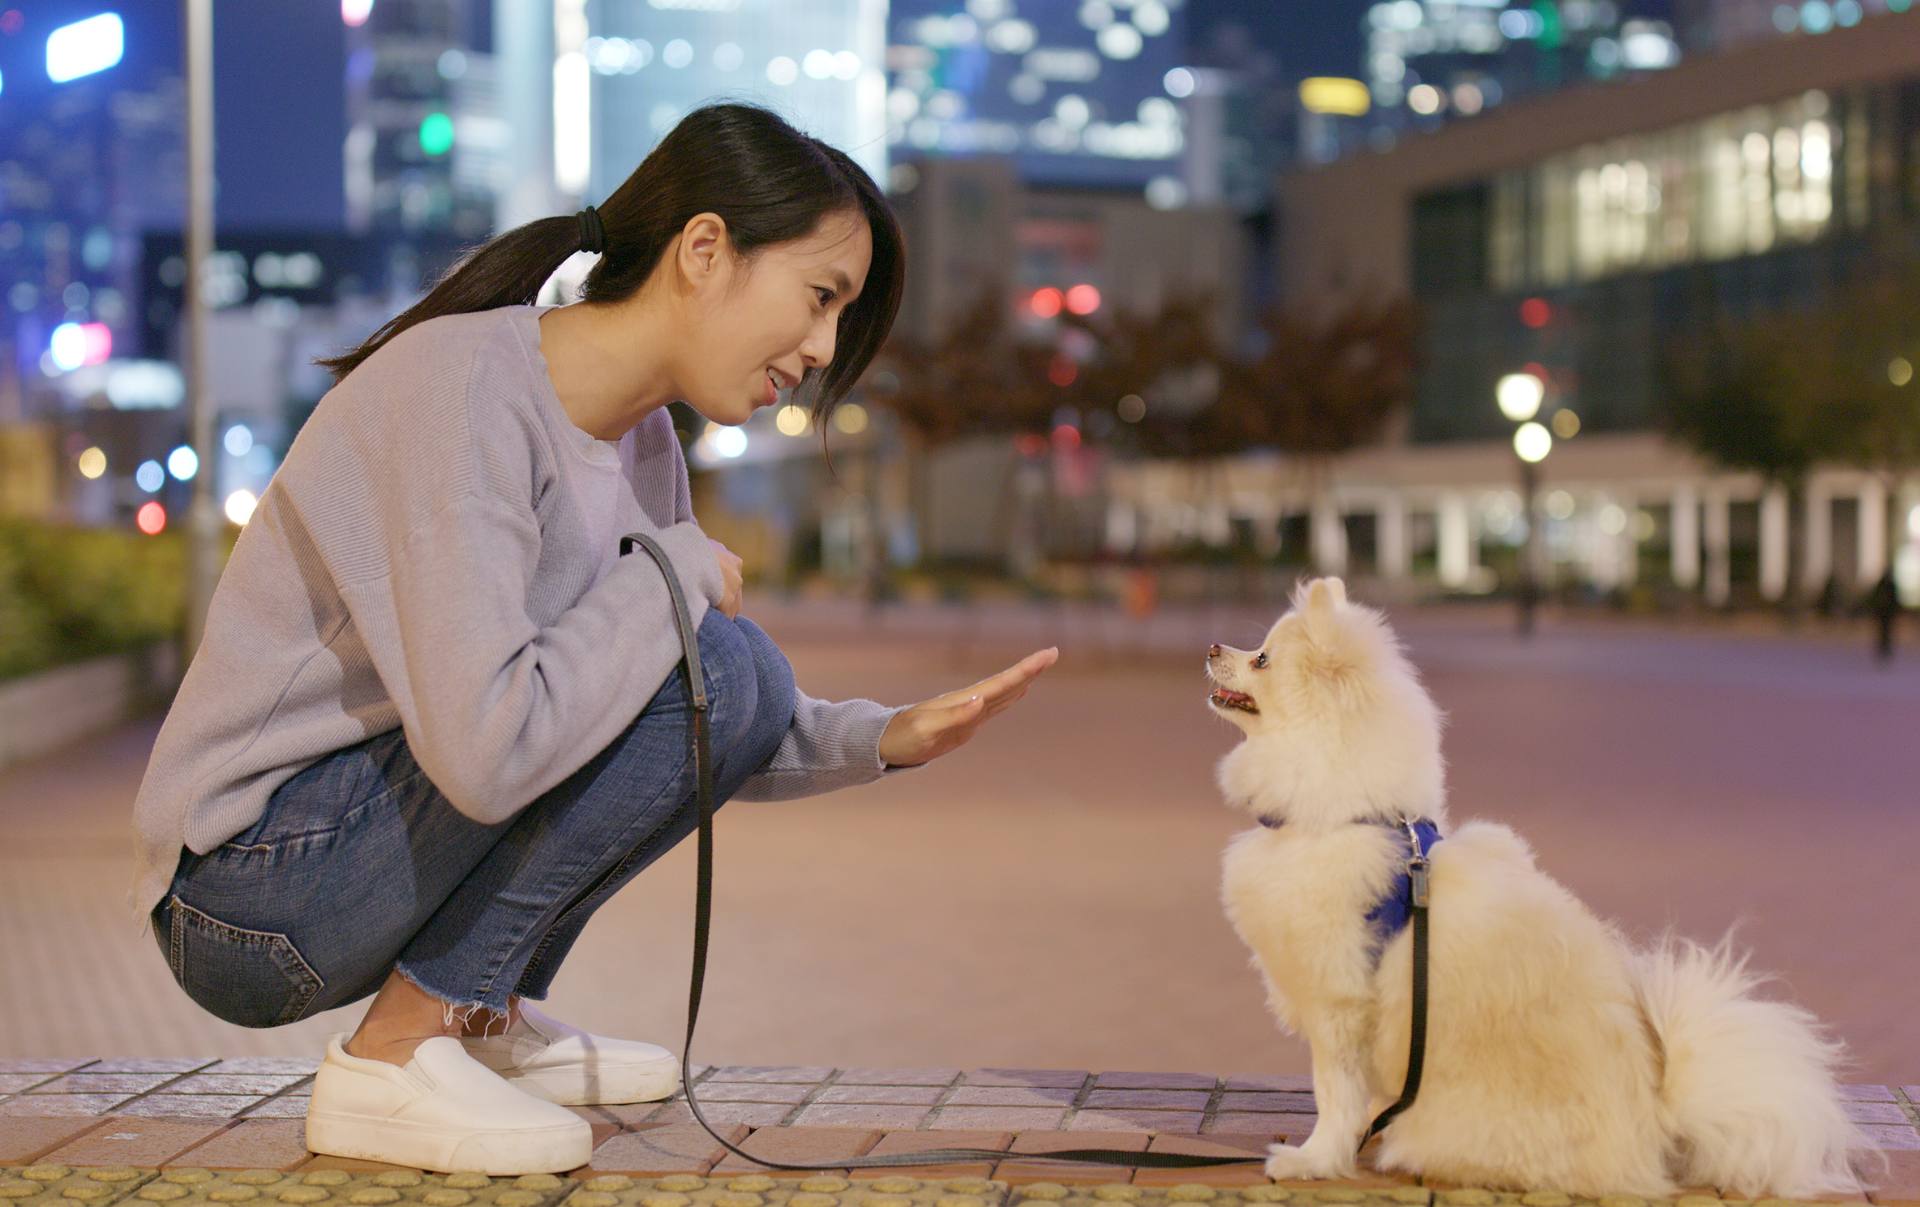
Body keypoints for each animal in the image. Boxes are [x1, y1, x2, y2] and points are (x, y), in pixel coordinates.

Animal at [1213, 575, 1858, 1197]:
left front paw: (1312, 1159)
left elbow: (1333, 1095)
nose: (1216, 648)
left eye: (1263, 659)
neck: (1349, 814)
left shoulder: (1338, 1000)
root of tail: (1658, 1130)